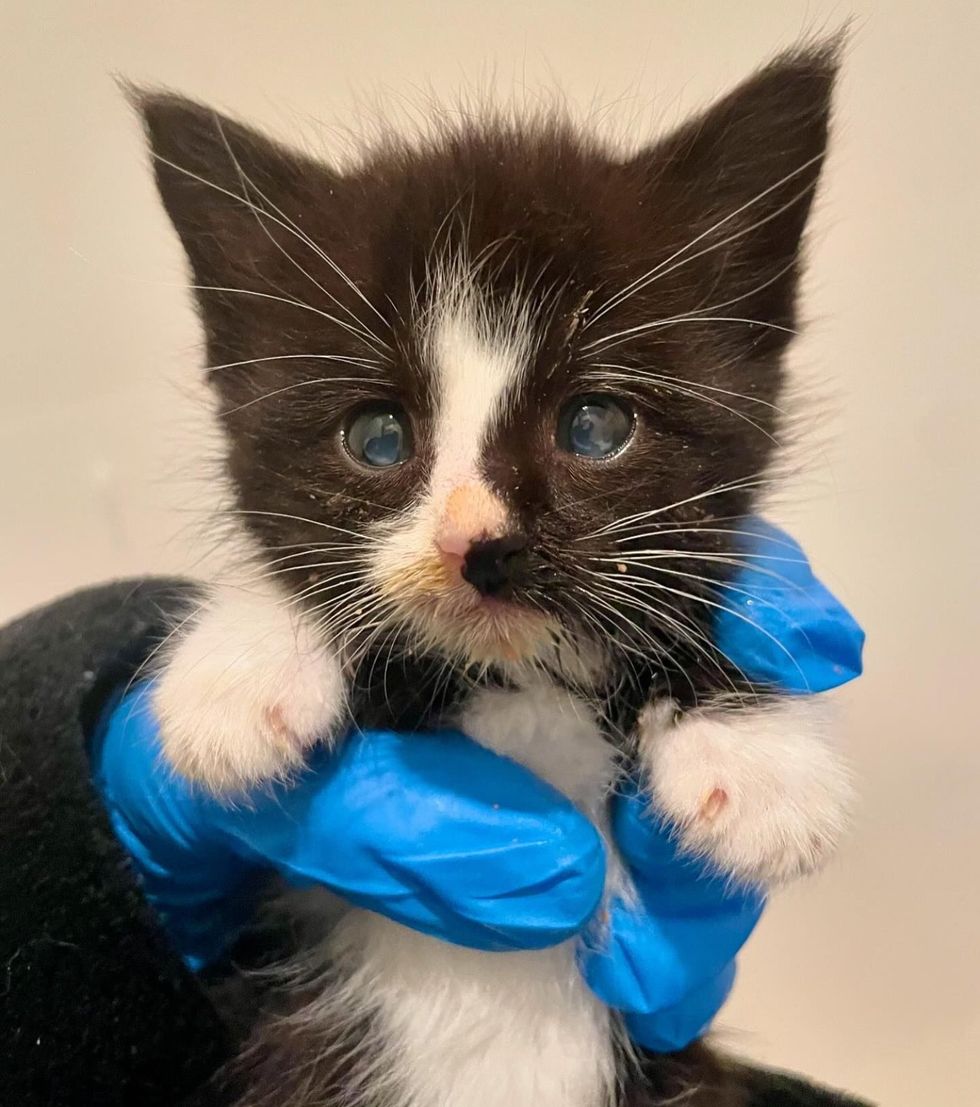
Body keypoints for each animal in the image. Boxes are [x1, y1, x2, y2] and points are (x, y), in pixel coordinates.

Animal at [135, 40, 850, 1107]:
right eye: (378, 437)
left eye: (594, 424)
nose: (480, 545)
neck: (519, 689)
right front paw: (238, 672)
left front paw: (758, 757)